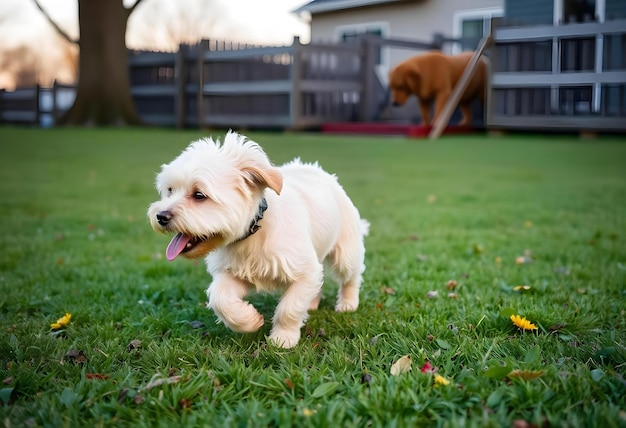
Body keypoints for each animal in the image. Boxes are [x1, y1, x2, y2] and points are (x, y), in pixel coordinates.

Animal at [147, 132, 366, 350]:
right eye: (170, 190)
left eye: (199, 195)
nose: (160, 216)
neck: (254, 231)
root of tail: (316, 169)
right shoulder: (232, 272)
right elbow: (220, 298)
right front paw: (249, 321)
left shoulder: (305, 270)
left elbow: (289, 308)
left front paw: (283, 338)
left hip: (346, 252)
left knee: (351, 277)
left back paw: (347, 304)